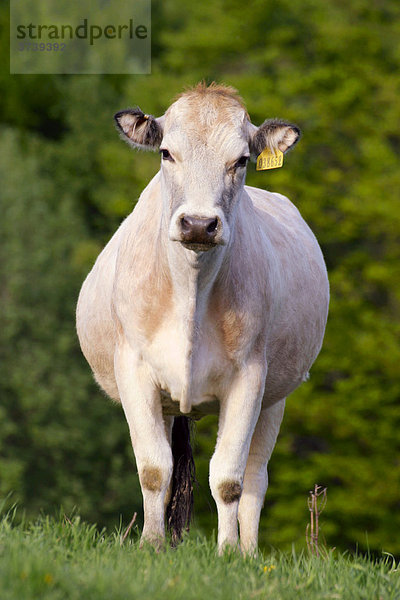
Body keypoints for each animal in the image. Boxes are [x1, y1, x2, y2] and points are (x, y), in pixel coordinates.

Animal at [75, 82, 328, 556]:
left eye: (242, 160)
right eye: (166, 153)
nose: (197, 223)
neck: (191, 293)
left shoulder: (250, 378)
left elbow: (229, 480)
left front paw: (228, 552)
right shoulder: (134, 370)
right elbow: (154, 469)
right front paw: (151, 544)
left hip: (276, 397)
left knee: (255, 479)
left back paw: (249, 553)